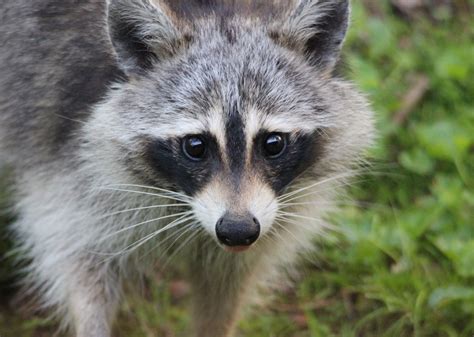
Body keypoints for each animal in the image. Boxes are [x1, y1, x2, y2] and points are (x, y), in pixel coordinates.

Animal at [0, 0, 376, 336]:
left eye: (273, 144)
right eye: (196, 146)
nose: (237, 230)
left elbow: (226, 288)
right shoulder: (68, 160)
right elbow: (78, 258)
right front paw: (92, 324)